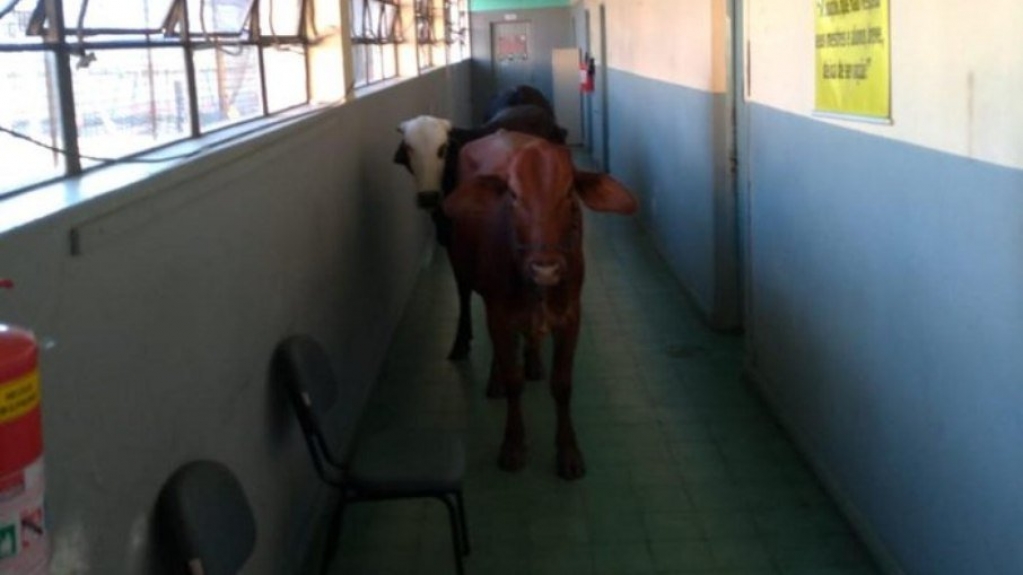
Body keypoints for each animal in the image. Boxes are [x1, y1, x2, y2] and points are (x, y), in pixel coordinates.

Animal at [443, 130, 634, 478]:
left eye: (569, 194)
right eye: (513, 196)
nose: (545, 268)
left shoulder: (571, 315)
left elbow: (562, 385)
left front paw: (568, 451)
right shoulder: (499, 314)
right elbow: (513, 380)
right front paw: (513, 445)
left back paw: (532, 361)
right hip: (461, 269)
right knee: (467, 305)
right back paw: (485, 369)